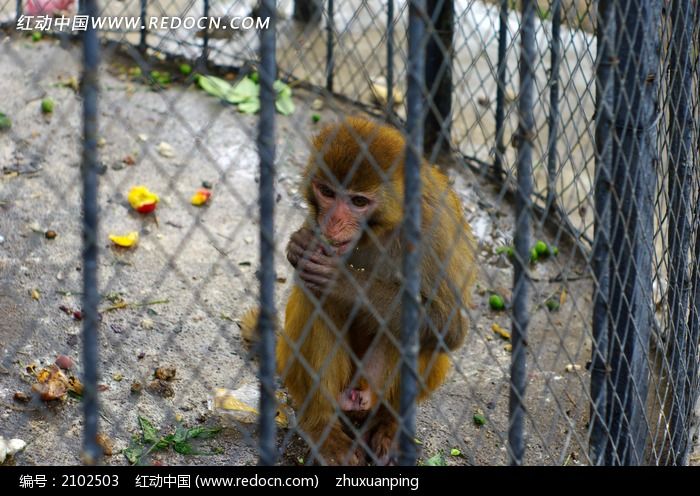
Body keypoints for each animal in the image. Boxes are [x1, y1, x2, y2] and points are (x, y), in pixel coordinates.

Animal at [276, 117, 478, 464]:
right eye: (327, 192)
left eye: (358, 201)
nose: (332, 222)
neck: (382, 227)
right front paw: (299, 247)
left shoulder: (432, 228)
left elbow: (449, 326)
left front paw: (344, 281)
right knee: (315, 296)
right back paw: (322, 427)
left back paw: (389, 424)